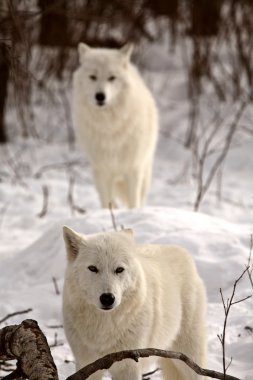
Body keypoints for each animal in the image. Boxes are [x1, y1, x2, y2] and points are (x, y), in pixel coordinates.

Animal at [62, 227, 207, 378]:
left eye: (119, 269)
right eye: (93, 268)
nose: (107, 298)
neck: (105, 326)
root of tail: (181, 250)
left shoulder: (128, 365)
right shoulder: (86, 364)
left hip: (189, 356)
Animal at [71, 43, 158, 208]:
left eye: (111, 78)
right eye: (93, 77)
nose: (100, 96)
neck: (109, 125)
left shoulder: (133, 169)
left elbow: (133, 203)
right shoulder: (103, 170)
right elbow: (107, 203)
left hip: (145, 174)